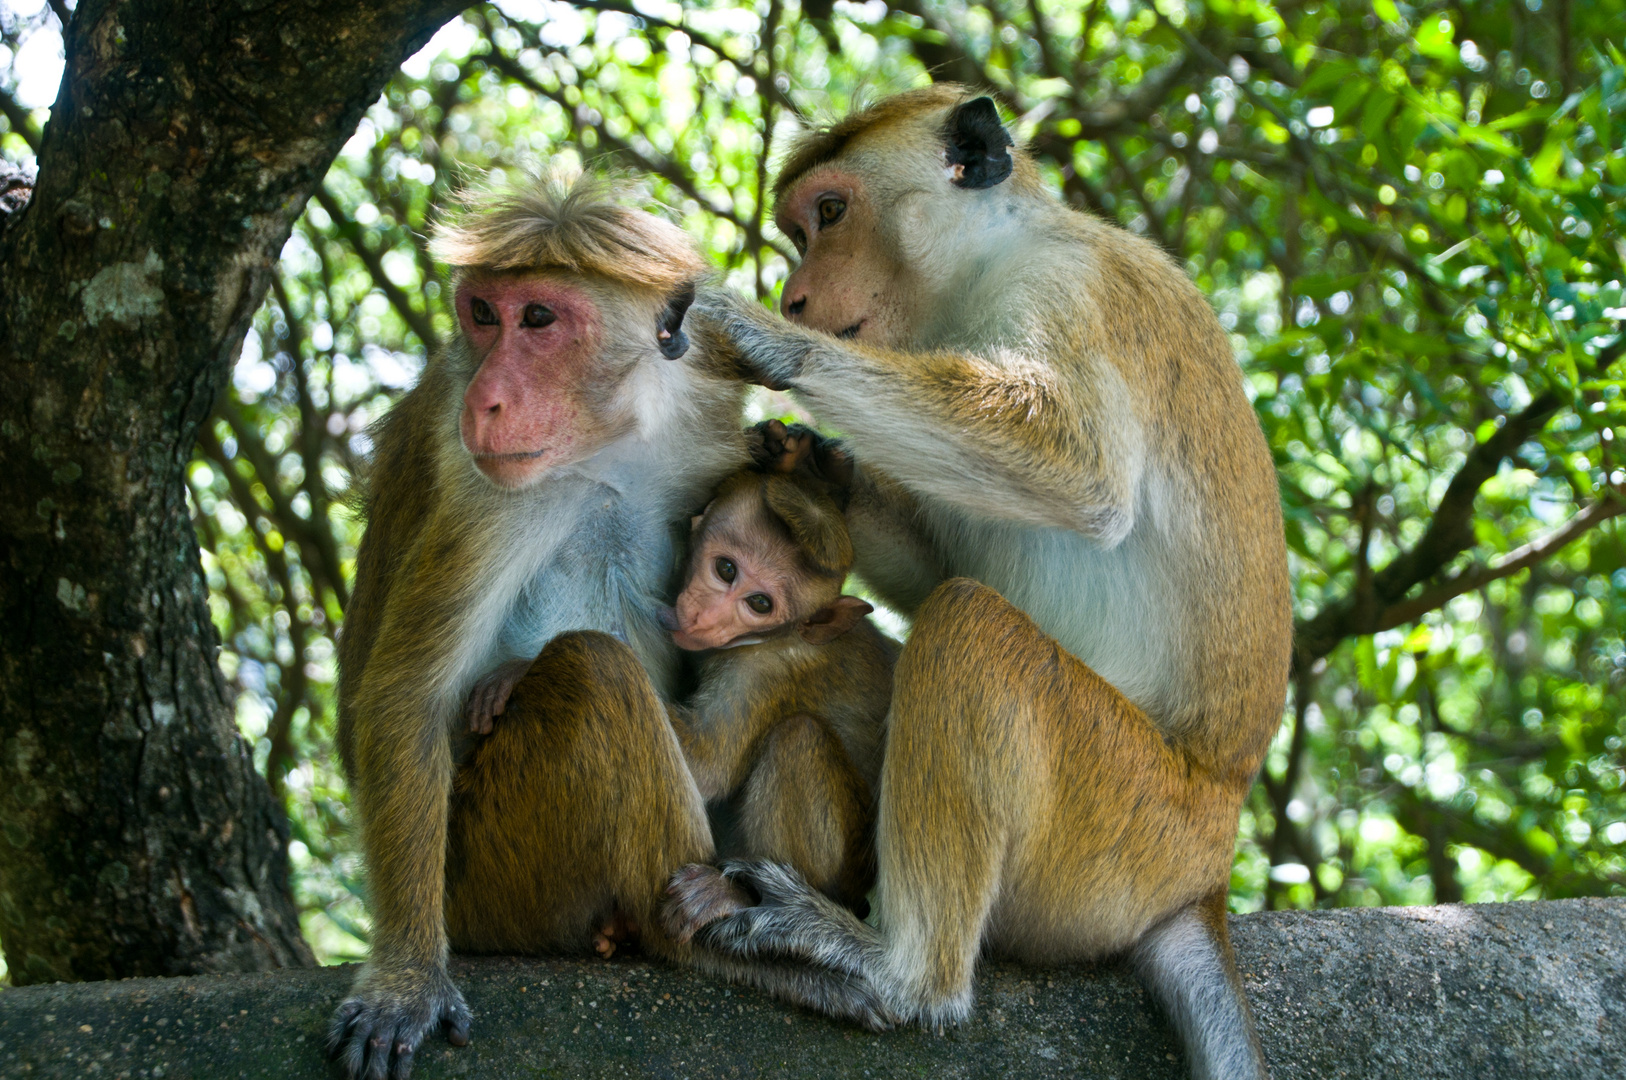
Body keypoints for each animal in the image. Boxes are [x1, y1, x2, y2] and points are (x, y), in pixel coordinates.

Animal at [331, 173, 760, 1073]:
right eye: (481, 314)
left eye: (538, 318)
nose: (485, 399)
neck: (610, 449)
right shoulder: (489, 490)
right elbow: (405, 698)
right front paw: (405, 979)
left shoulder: (703, 419)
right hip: (484, 879)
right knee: (592, 672)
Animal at [653, 442, 897, 917]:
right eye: (726, 570)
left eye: (760, 604)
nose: (704, 616)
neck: (777, 636)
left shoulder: (763, 672)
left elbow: (706, 763)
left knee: (797, 737)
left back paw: (752, 896)